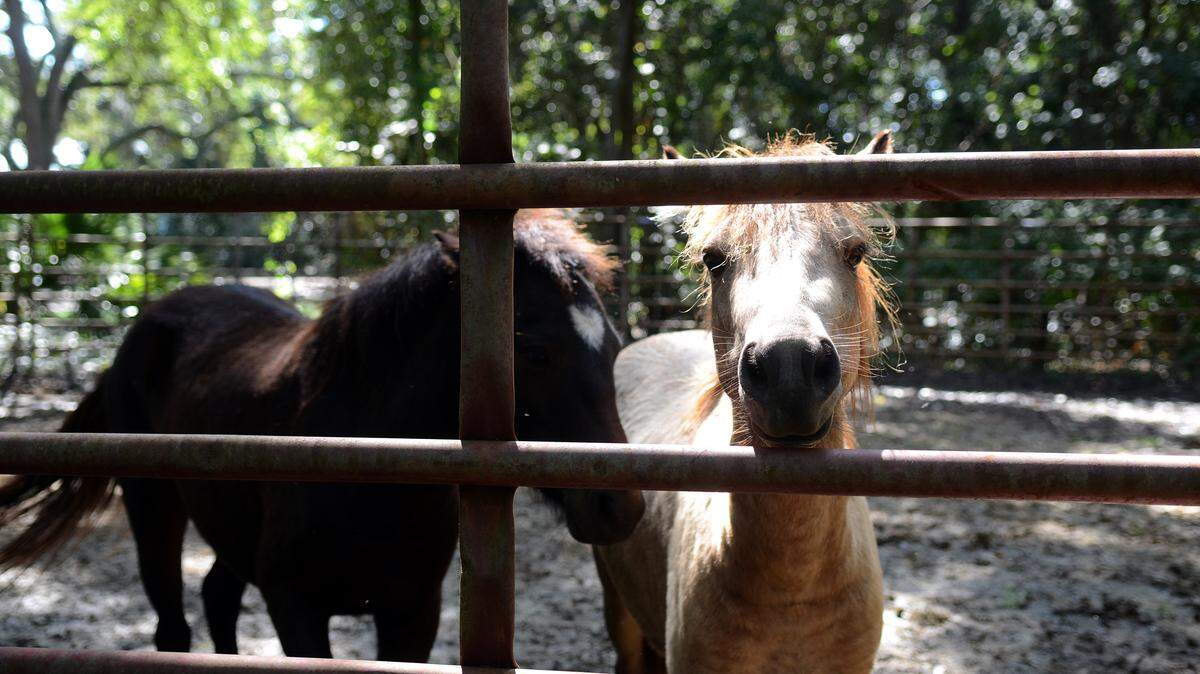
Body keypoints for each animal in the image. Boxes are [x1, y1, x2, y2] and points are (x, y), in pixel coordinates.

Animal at [0, 209, 645, 661]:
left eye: (614, 347)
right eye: (535, 351)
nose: (620, 508)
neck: (364, 463)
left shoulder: (413, 613)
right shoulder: (297, 610)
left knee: (217, 598)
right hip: (152, 508)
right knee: (174, 628)